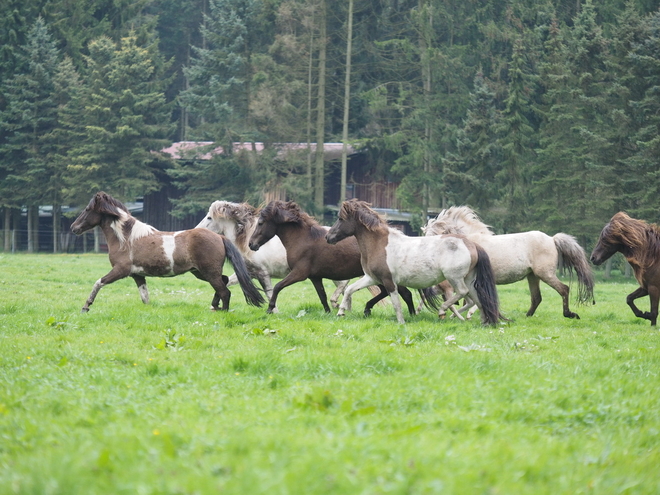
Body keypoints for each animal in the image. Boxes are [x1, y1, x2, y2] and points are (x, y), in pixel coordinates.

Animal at [72, 193, 266, 314]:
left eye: (88, 209)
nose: (74, 227)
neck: (126, 238)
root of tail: (219, 237)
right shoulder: (137, 275)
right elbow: (145, 297)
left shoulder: (120, 271)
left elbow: (98, 283)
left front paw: (85, 307)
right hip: (200, 272)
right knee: (224, 282)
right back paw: (214, 306)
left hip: (208, 272)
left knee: (225, 291)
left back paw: (222, 311)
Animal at [196, 201, 348, 310]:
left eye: (209, 217)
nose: (196, 230)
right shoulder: (249, 273)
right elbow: (226, 282)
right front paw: (214, 305)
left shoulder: (263, 273)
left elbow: (270, 293)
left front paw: (274, 310)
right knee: (344, 286)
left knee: (343, 284)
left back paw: (336, 303)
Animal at [324, 200, 500, 328]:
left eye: (340, 219)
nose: (328, 237)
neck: (379, 244)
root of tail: (471, 244)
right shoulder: (371, 278)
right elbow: (350, 290)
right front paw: (341, 312)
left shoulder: (389, 281)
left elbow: (396, 303)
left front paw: (401, 322)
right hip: (469, 279)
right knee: (477, 299)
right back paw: (483, 322)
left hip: (454, 278)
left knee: (463, 293)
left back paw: (443, 311)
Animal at [426, 206, 596, 320]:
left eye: (431, 233)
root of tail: (552, 239)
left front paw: (469, 315)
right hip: (533, 276)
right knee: (537, 298)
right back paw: (527, 316)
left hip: (545, 274)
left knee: (563, 289)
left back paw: (569, 314)